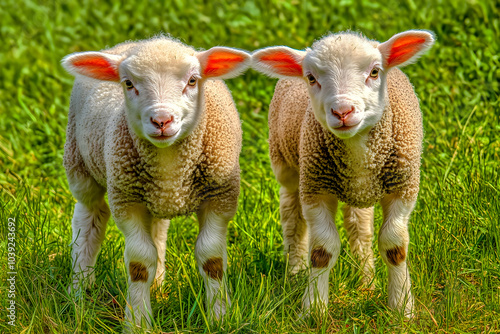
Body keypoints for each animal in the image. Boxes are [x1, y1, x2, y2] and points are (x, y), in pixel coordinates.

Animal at [62, 35, 250, 330]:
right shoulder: (126, 199)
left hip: (151, 196)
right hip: (80, 162)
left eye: (193, 80)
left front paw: (220, 316)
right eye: (128, 83)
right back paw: (79, 289)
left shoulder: (220, 196)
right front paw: (138, 322)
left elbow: (212, 258)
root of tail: (132, 43)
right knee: (89, 219)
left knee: (158, 230)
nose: (161, 120)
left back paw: (158, 283)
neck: (170, 164)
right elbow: (139, 263)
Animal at [252, 30, 436, 316]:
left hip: (360, 190)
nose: (342, 111)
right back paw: (295, 273)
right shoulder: (315, 188)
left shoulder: (403, 187)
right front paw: (314, 309)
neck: (358, 148)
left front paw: (402, 307)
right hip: (287, 166)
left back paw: (366, 281)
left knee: (359, 227)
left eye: (374, 72)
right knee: (293, 218)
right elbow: (322, 251)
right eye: (311, 78)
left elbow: (394, 246)